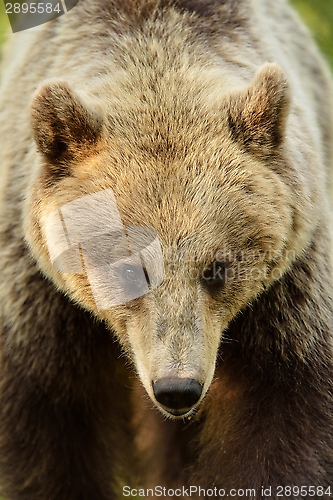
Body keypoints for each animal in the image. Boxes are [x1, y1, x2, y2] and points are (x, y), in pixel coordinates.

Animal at [0, 0, 332, 498]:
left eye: (217, 268)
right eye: (128, 269)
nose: (178, 387)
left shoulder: (289, 295)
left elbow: (287, 412)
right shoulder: (38, 308)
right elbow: (48, 434)